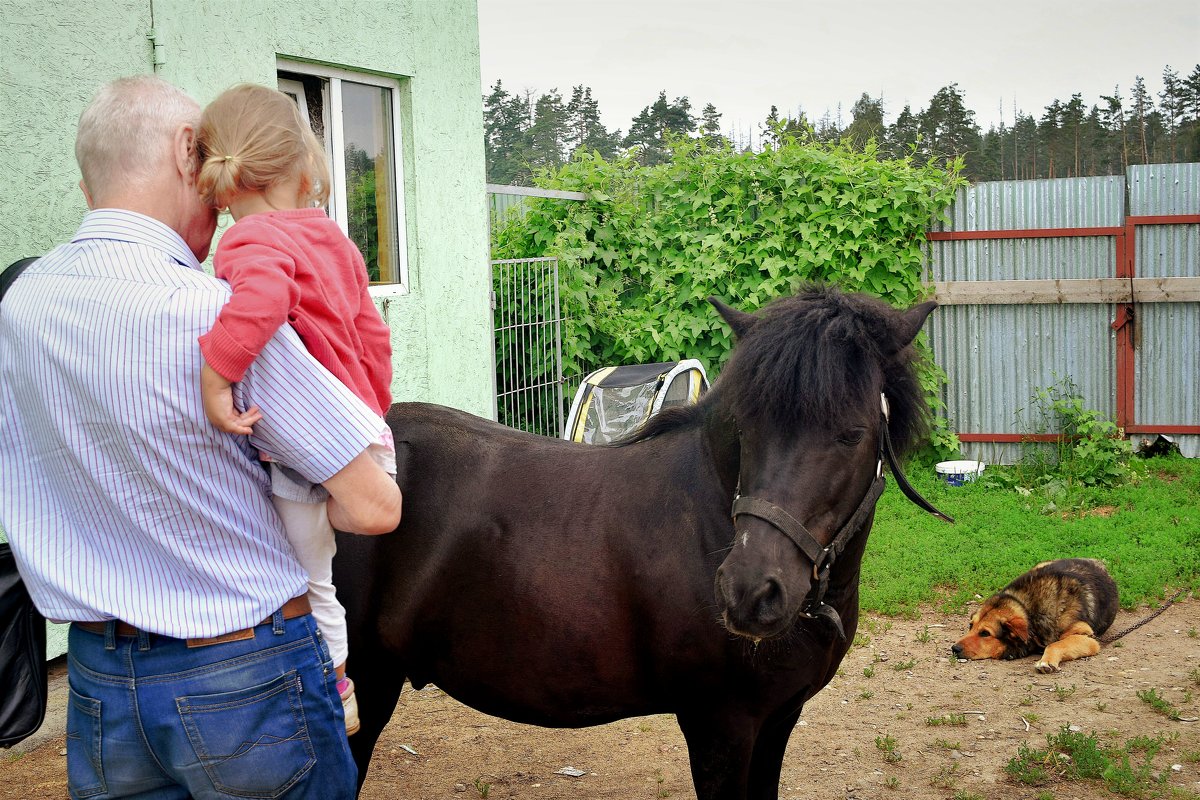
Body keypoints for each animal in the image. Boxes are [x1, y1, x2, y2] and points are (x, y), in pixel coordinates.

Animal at [336, 284, 936, 796]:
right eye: (747, 426)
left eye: (852, 434)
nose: (748, 593)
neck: (709, 516)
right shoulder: (721, 727)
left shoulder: (779, 719)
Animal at [950, 561, 1118, 671]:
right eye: (970, 626)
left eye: (985, 633)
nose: (954, 648)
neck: (1029, 611)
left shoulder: (1087, 637)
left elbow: (1056, 644)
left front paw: (1046, 661)